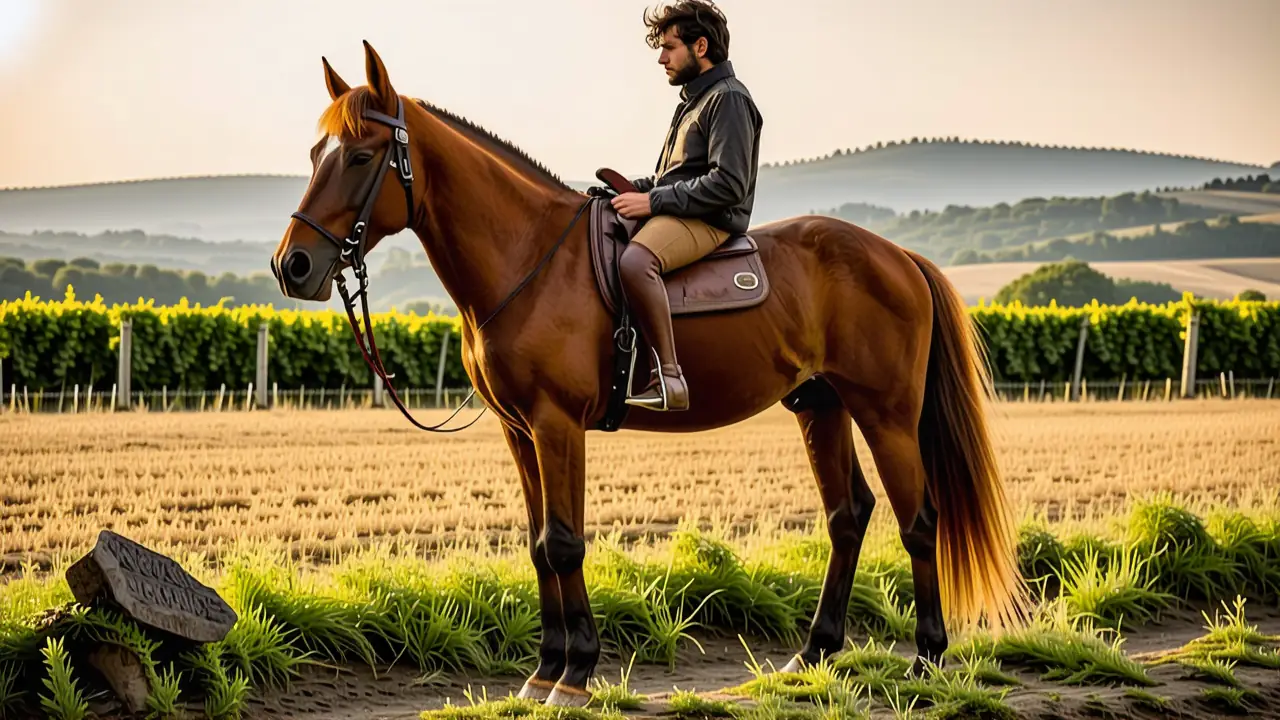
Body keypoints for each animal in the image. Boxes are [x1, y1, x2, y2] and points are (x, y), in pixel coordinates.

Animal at [270, 41, 1028, 707]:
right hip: (822, 407)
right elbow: (538, 547)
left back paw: (928, 658)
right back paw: (813, 654)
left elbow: (564, 543)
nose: (292, 266)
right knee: (848, 516)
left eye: (360, 155)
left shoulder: (556, 426)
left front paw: (575, 675)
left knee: (919, 521)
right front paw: (542, 673)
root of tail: (898, 256)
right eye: (312, 154)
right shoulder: (519, 433)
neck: (530, 259)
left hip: (886, 414)